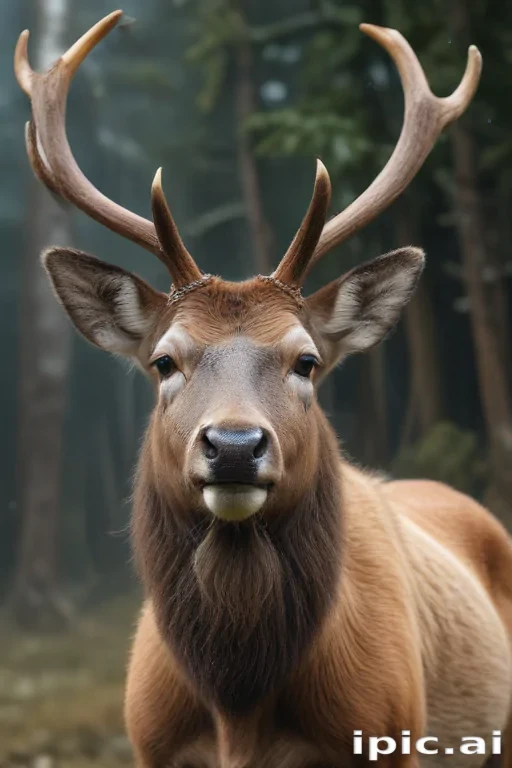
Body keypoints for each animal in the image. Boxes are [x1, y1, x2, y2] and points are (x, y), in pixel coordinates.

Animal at [15, 10, 512, 768]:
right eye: (164, 361)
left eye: (306, 361)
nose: (234, 444)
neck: (238, 714)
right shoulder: (148, 743)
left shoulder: (392, 734)